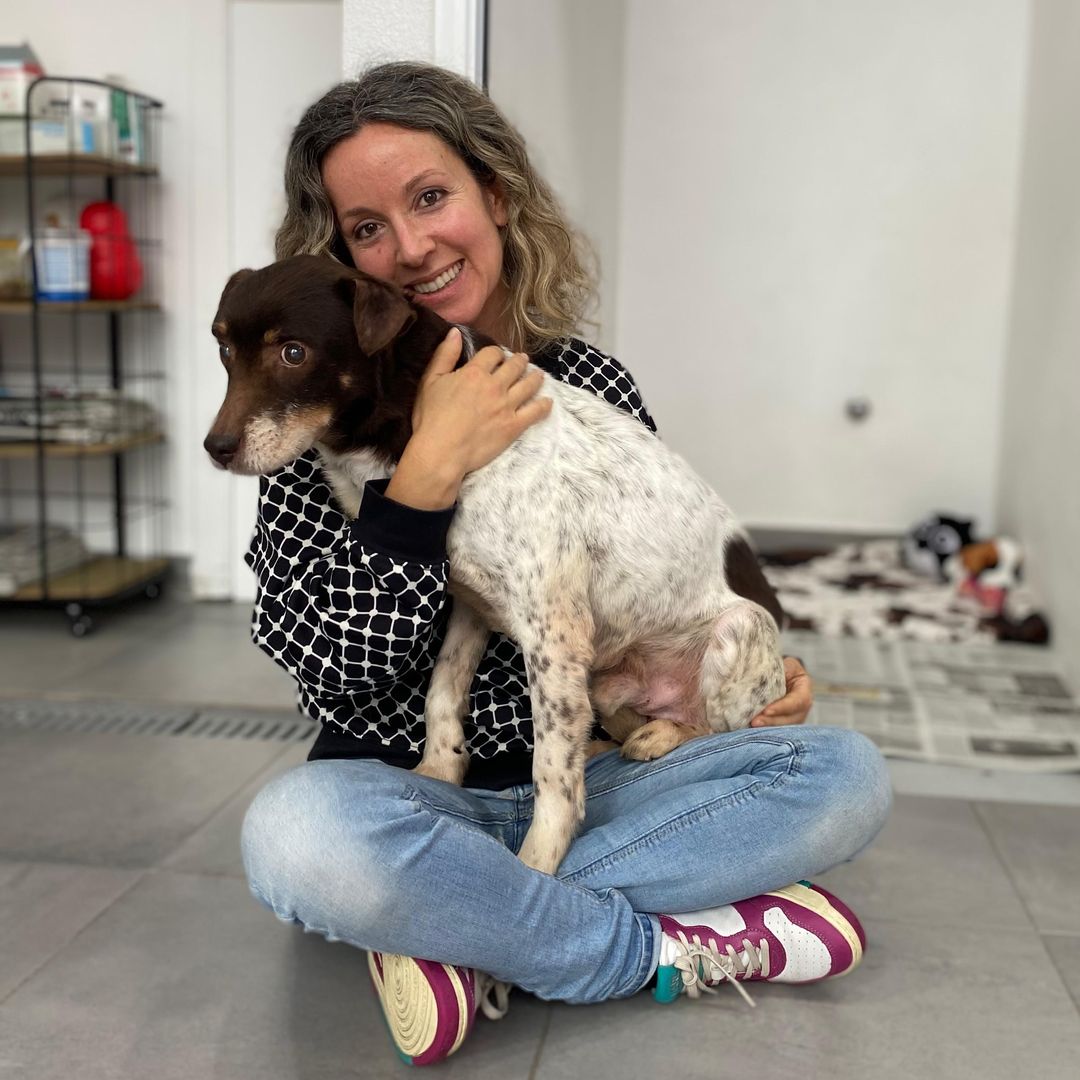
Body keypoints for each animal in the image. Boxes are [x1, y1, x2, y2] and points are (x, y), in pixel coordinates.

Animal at [206, 254, 790, 876]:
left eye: (293, 352)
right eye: (224, 349)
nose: (214, 447)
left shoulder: (553, 633)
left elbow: (552, 772)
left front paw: (539, 862)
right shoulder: (472, 605)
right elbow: (442, 693)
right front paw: (439, 772)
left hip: (737, 633)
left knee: (713, 728)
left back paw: (661, 736)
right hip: (603, 674)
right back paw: (625, 736)